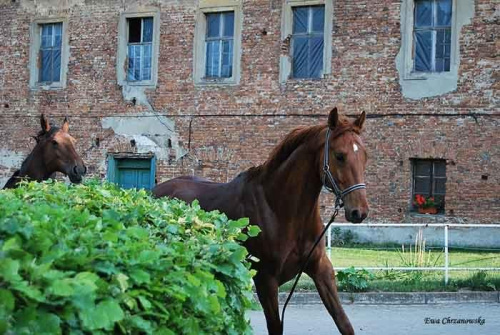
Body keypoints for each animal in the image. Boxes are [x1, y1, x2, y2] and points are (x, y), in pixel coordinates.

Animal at [154, 108, 370, 335]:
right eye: (339, 156)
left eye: (365, 156)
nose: (359, 212)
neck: (280, 209)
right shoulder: (266, 280)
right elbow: (275, 327)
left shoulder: (321, 269)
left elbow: (344, 323)